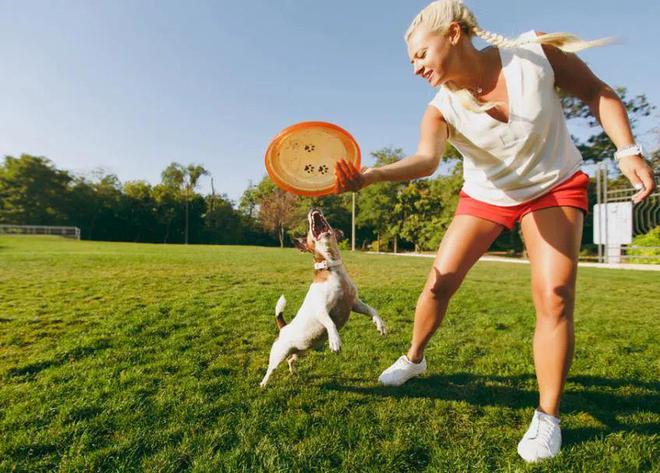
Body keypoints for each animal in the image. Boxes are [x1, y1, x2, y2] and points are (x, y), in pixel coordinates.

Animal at [260, 208, 386, 386]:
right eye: (308, 229)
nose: (314, 208)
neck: (332, 268)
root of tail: (283, 327)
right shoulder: (321, 310)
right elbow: (330, 323)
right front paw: (335, 341)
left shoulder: (354, 303)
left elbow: (372, 310)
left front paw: (380, 324)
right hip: (279, 354)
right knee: (271, 369)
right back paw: (263, 384)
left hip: (301, 350)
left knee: (291, 359)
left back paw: (293, 372)